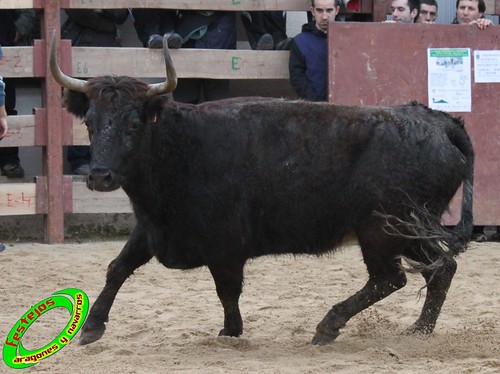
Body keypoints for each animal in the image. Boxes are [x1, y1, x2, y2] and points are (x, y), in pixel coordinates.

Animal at [49, 34, 472, 344]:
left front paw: (230, 331)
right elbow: (117, 267)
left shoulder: (223, 248)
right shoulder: (152, 228)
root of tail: (436, 121)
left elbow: (227, 289)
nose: (100, 177)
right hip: (408, 230)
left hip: (382, 231)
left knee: (392, 278)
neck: (180, 146)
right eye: (89, 122)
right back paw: (419, 330)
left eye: (133, 125)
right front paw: (92, 327)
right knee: (440, 267)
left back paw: (329, 326)